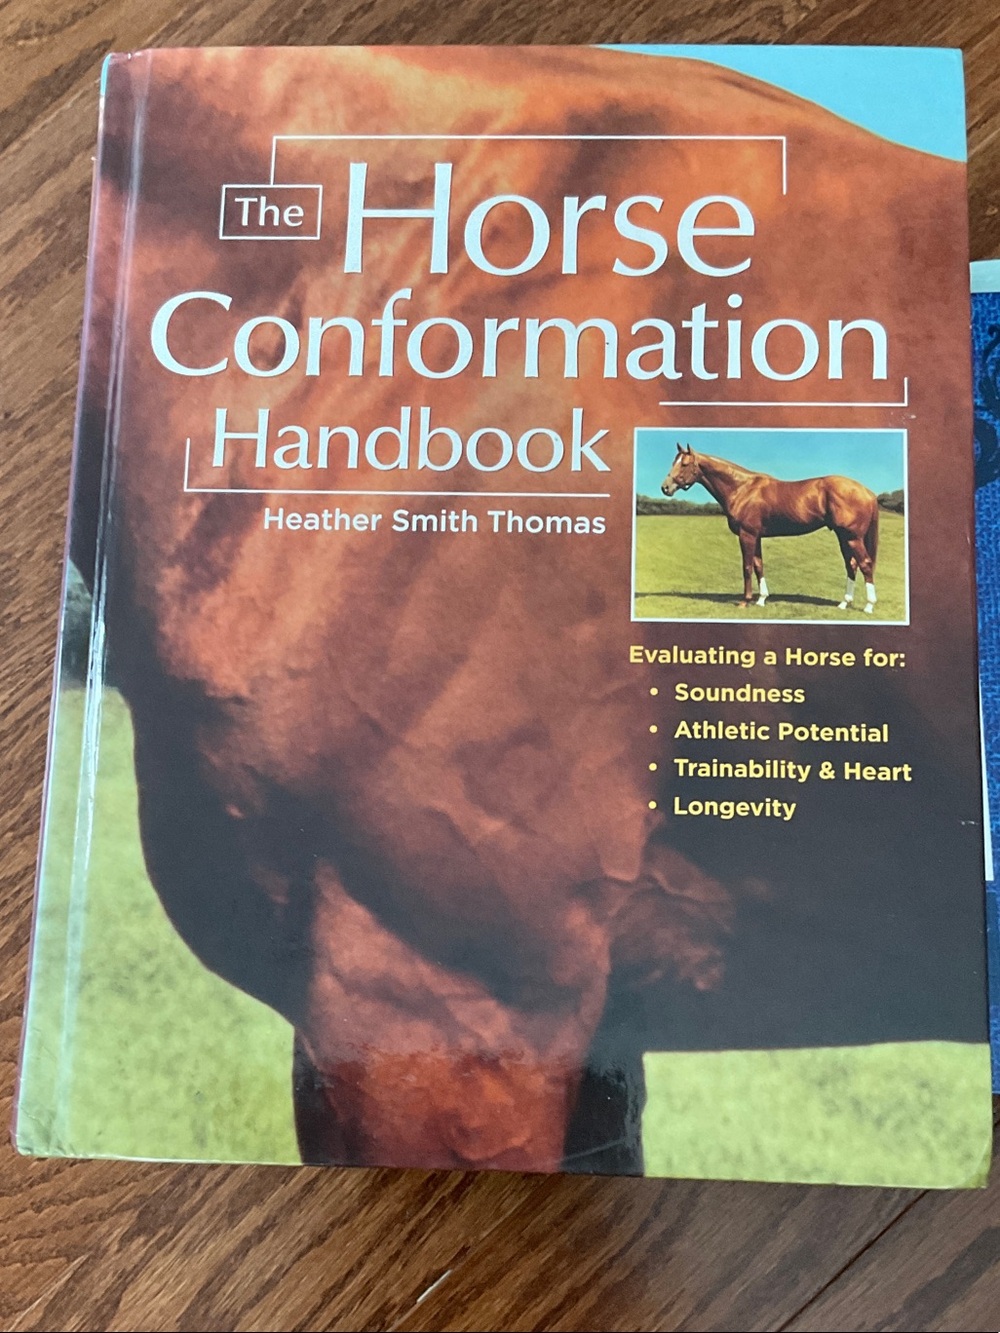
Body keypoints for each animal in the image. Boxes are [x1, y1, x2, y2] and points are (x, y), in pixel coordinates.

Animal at [661, 445, 881, 613]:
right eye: (674, 462)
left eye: (684, 464)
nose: (665, 487)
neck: (742, 488)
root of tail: (867, 492)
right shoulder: (756, 536)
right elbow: (759, 565)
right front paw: (761, 599)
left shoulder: (747, 535)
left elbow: (747, 567)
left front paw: (745, 601)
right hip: (843, 537)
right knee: (851, 565)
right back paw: (844, 603)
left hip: (852, 538)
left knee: (865, 564)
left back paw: (869, 606)